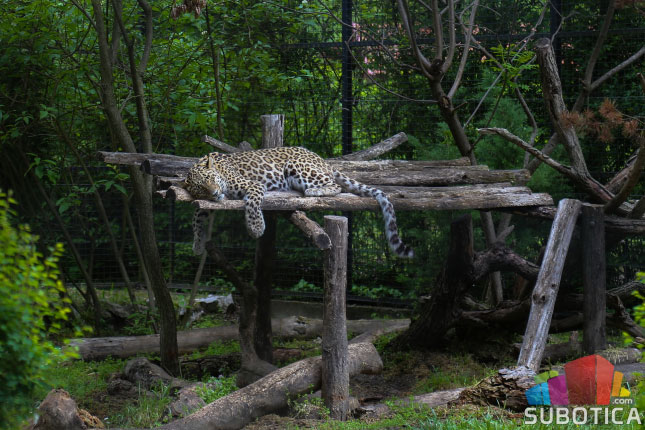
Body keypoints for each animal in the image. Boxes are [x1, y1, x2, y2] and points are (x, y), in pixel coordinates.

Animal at [184, 146, 413, 258]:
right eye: (200, 188)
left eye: (210, 179)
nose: (215, 193)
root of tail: (323, 160)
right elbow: (196, 217)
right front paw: (197, 244)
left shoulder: (253, 186)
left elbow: (252, 204)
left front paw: (256, 228)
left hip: (297, 166)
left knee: (335, 185)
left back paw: (314, 190)